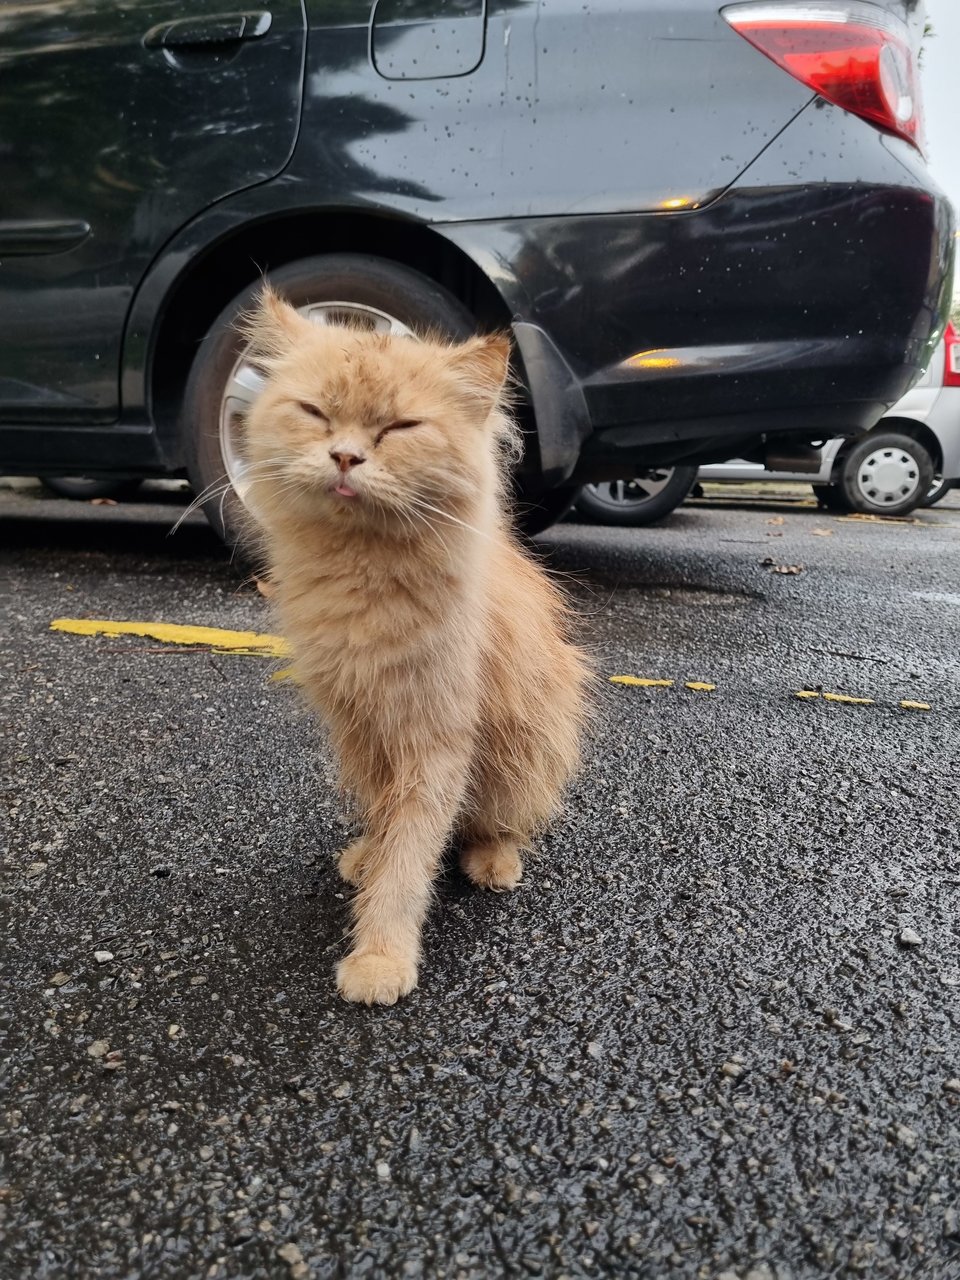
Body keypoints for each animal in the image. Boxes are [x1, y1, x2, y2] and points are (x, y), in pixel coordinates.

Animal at [240, 288, 593, 998]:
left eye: (399, 428)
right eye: (315, 413)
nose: (345, 457)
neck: (361, 571)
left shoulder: (435, 738)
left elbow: (410, 860)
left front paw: (381, 956)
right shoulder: (363, 728)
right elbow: (387, 825)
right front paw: (371, 861)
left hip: (523, 757)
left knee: (495, 825)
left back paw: (493, 862)